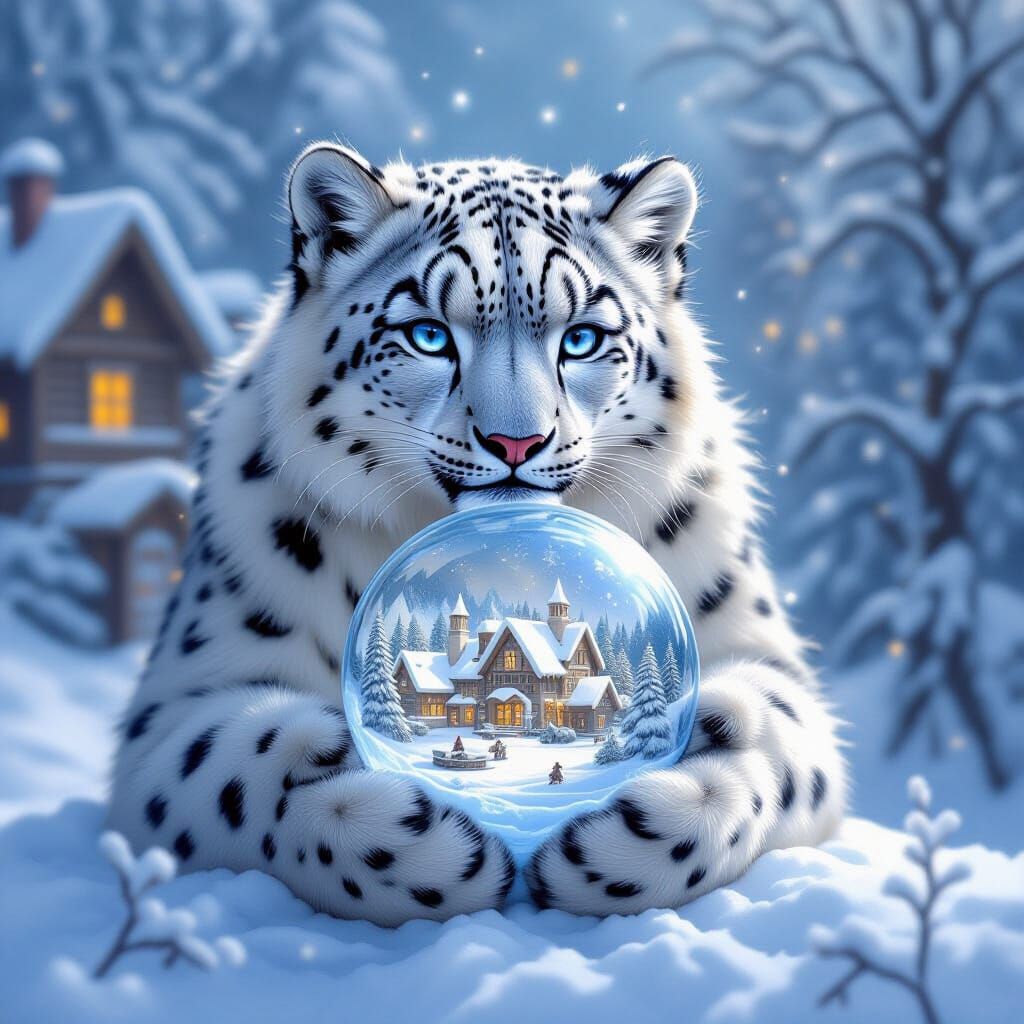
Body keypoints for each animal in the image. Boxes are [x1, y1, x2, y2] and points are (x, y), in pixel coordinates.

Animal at [107, 143, 846, 926]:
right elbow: (241, 765)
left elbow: (770, 746)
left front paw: (635, 836)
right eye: (429, 334)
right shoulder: (175, 708)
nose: (516, 442)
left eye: (582, 338)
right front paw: (413, 841)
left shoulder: (767, 660)